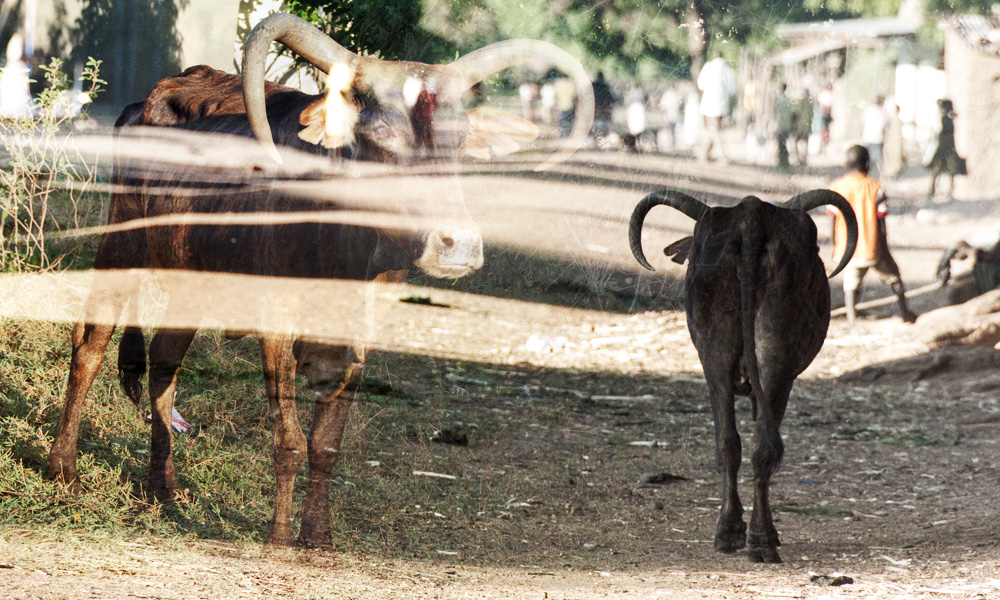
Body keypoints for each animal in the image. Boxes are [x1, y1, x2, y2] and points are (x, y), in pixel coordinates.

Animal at [45, 14, 592, 548]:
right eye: (382, 137)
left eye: (457, 142)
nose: (456, 244)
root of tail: (145, 101)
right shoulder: (276, 320)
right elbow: (288, 439)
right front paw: (280, 536)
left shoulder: (362, 333)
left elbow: (326, 442)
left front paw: (319, 535)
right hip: (121, 245)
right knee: (90, 345)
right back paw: (63, 470)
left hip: (192, 279)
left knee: (163, 365)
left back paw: (164, 487)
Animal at [632, 189, 860, 564]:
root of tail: (751, 217)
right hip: (774, 364)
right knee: (760, 446)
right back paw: (762, 539)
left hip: (716, 356)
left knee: (730, 443)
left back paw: (731, 533)